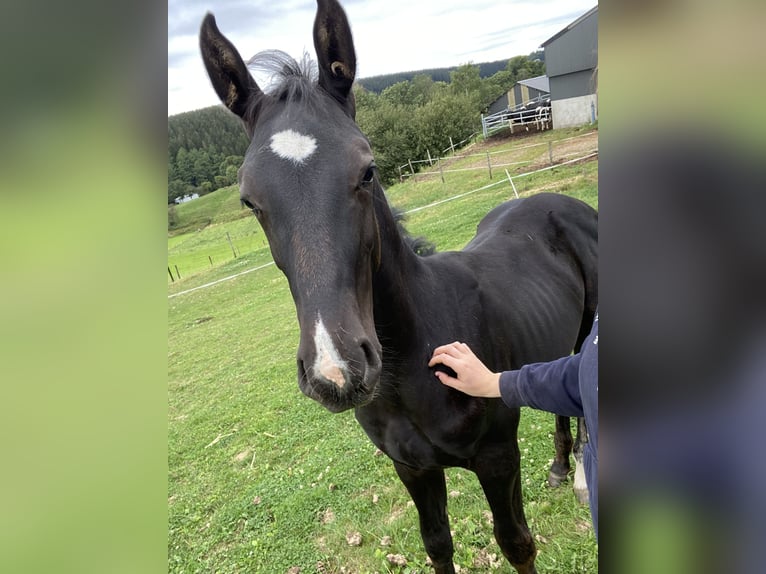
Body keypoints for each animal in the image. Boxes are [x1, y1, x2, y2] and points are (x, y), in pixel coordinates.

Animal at [201, 2, 596, 572]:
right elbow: (437, 544)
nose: (336, 372)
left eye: (368, 170)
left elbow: (516, 541)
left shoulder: (499, 458)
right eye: (249, 200)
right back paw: (561, 467)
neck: (418, 357)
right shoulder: (413, 469)